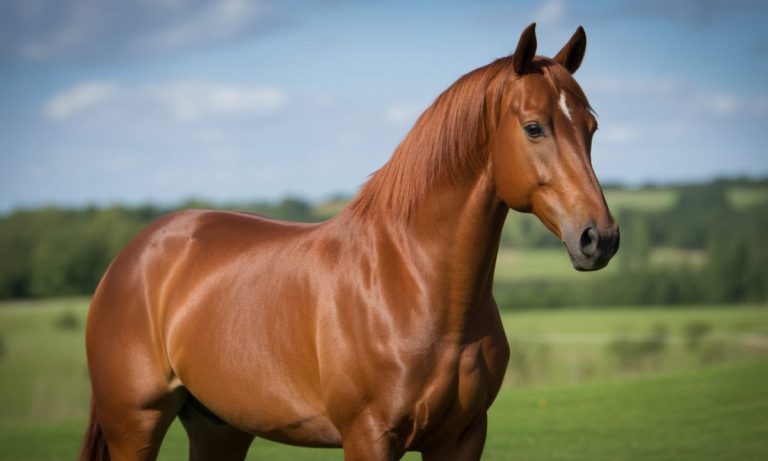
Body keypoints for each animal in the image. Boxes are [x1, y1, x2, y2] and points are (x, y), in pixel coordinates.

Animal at [80, 23, 619, 461]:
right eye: (534, 127)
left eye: (591, 127)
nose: (600, 238)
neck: (410, 283)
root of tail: (131, 257)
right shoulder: (368, 437)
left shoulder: (462, 438)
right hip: (136, 426)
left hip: (220, 428)